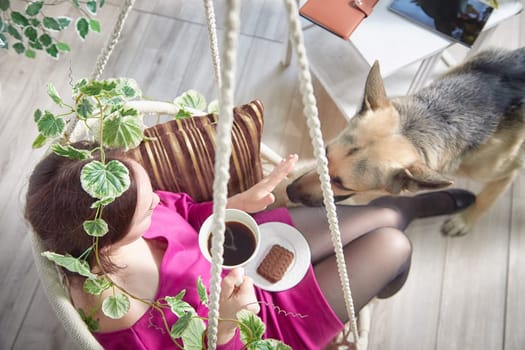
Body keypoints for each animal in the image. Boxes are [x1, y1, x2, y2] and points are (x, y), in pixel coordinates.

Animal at [286, 46, 524, 237]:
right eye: (325, 153)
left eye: (341, 183)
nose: (289, 191)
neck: (435, 118)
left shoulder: (506, 172)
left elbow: (486, 198)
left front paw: (464, 221)